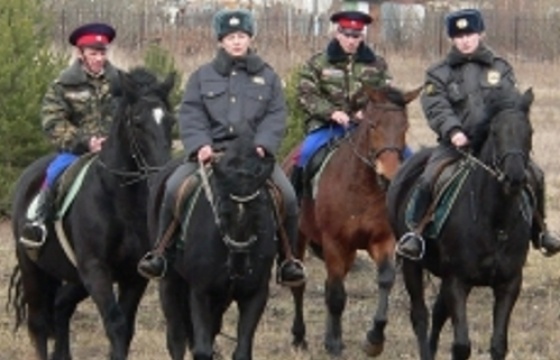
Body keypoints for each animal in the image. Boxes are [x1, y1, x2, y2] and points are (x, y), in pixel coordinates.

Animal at [8, 67, 175, 360]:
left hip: (74, 278)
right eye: (137, 122)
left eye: (169, 121)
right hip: (33, 268)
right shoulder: (96, 270)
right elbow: (116, 324)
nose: (162, 174)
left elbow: (126, 328)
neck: (119, 203)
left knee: (61, 306)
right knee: (38, 324)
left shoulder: (133, 276)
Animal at [152, 132, 276, 360]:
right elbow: (201, 349)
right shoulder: (200, 291)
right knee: (176, 339)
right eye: (222, 207)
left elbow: (242, 351)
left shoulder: (255, 294)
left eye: (260, 207)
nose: (239, 264)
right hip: (170, 282)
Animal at [282, 85, 422, 358]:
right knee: (300, 286)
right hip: (298, 238)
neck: (362, 187)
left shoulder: (382, 240)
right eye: (373, 125)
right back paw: (299, 337)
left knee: (329, 285)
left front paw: (374, 339)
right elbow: (337, 295)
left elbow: (385, 279)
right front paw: (335, 345)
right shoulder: (335, 242)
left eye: (405, 126)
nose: (389, 175)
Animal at [388, 87, 536, 360]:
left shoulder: (509, 283)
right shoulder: (457, 281)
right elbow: (461, 345)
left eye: (529, 132)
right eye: (495, 132)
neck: (495, 222)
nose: (515, 178)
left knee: (437, 314)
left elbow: (498, 345)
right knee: (420, 316)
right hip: (412, 265)